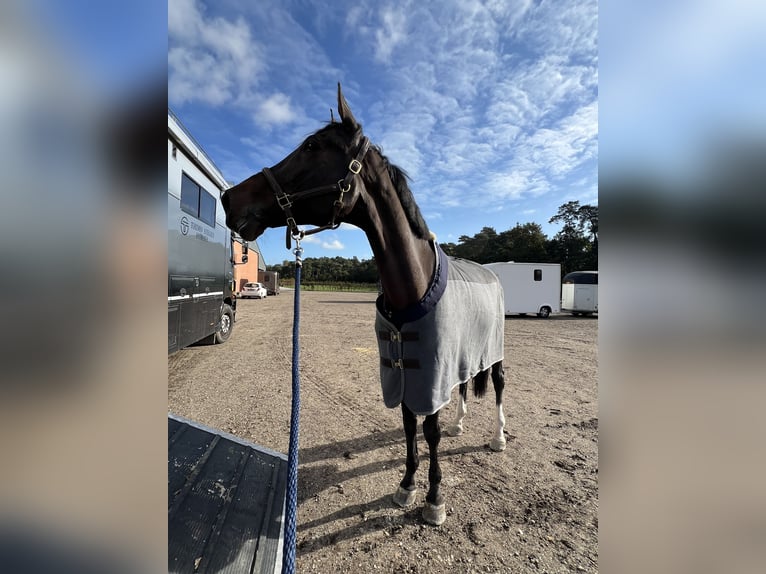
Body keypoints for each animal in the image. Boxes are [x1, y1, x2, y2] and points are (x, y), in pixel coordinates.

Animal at [222, 83, 510, 528]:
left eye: (312, 146)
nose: (229, 198)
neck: (413, 285)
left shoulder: (429, 371)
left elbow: (430, 431)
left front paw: (434, 497)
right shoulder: (406, 371)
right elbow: (409, 425)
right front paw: (407, 485)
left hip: (493, 351)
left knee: (496, 385)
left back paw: (497, 437)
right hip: (465, 352)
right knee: (463, 385)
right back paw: (462, 425)